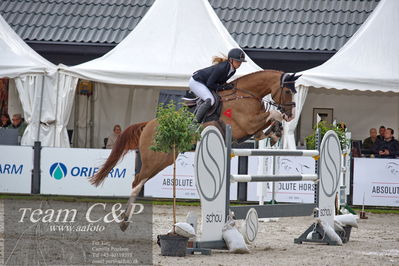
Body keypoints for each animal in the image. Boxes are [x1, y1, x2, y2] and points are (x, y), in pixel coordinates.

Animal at [90, 70, 300, 231]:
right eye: (287, 91)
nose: (291, 115)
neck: (247, 94)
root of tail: (148, 124)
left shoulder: (252, 130)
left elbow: (266, 126)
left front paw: (276, 133)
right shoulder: (246, 125)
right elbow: (272, 113)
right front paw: (278, 124)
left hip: (167, 158)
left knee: (139, 181)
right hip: (155, 160)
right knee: (136, 182)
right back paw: (124, 221)